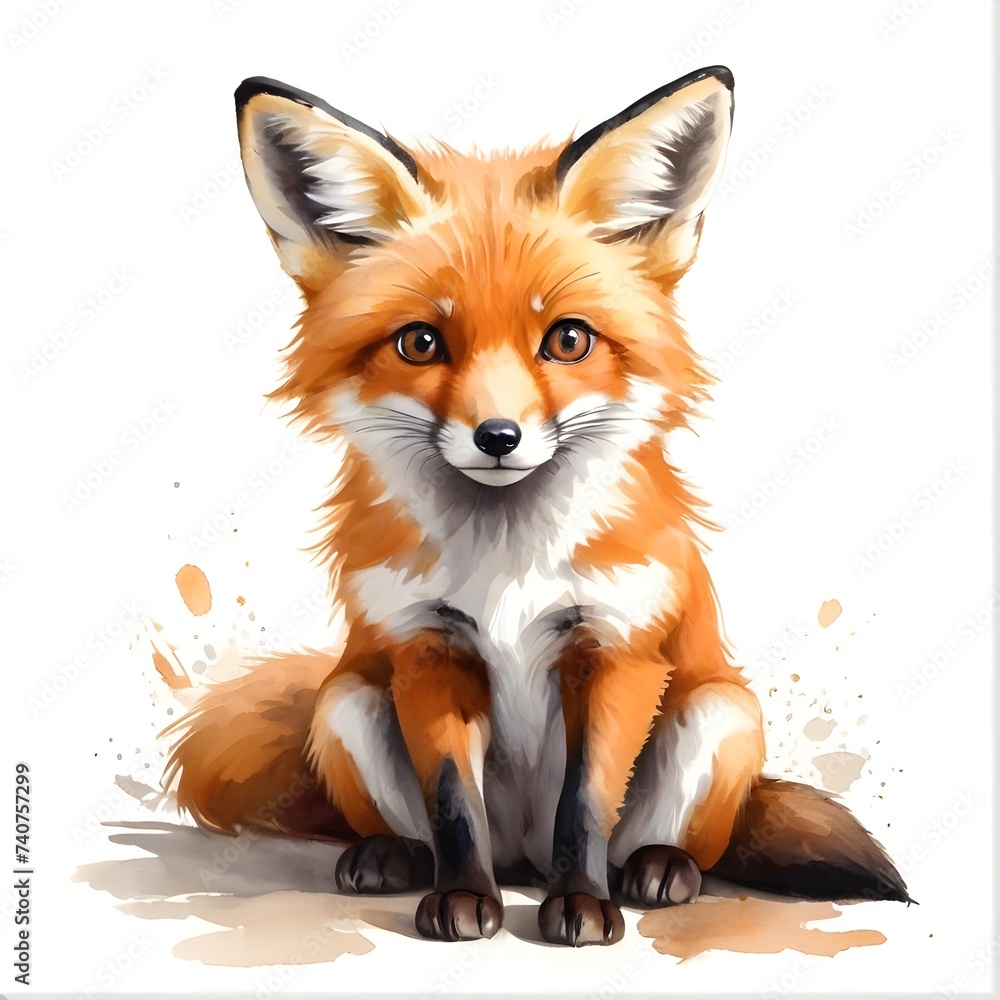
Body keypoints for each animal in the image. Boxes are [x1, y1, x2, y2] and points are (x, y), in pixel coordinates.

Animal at [164, 66, 910, 946]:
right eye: (421, 342)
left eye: (568, 340)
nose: (498, 436)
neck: (507, 562)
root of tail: (521, 858)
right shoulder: (429, 651)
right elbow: (454, 805)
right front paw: (462, 899)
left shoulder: (615, 650)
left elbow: (586, 802)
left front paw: (583, 905)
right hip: (347, 701)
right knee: (424, 824)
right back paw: (395, 858)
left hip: (718, 712)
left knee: (681, 839)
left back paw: (657, 870)